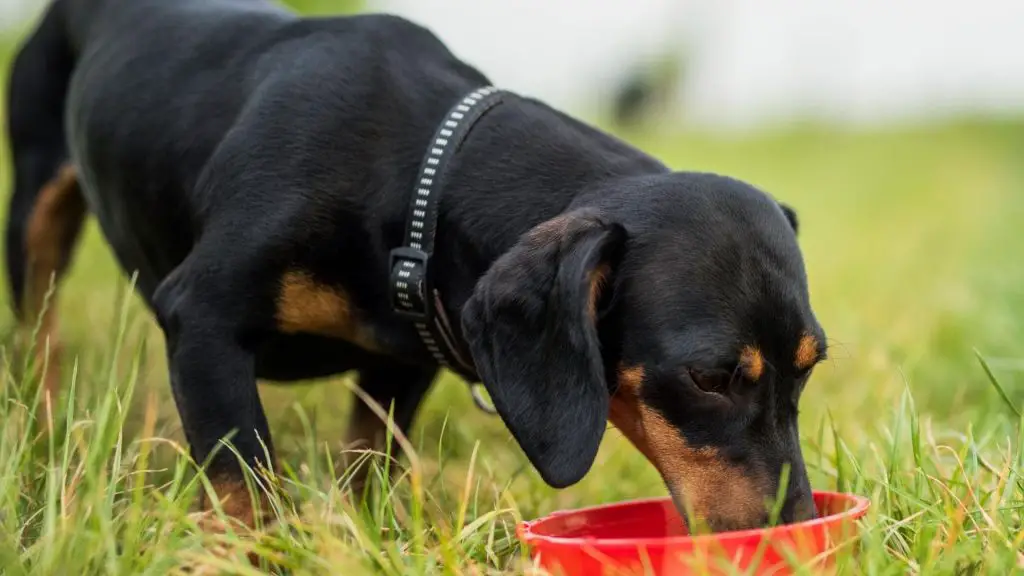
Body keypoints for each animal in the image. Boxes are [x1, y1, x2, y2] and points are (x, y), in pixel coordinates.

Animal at [4, 0, 827, 528]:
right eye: (709, 378)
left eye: (810, 366)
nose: (794, 529)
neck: (420, 170)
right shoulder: (202, 322)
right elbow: (246, 491)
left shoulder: (401, 361)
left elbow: (369, 469)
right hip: (34, 208)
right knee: (37, 330)